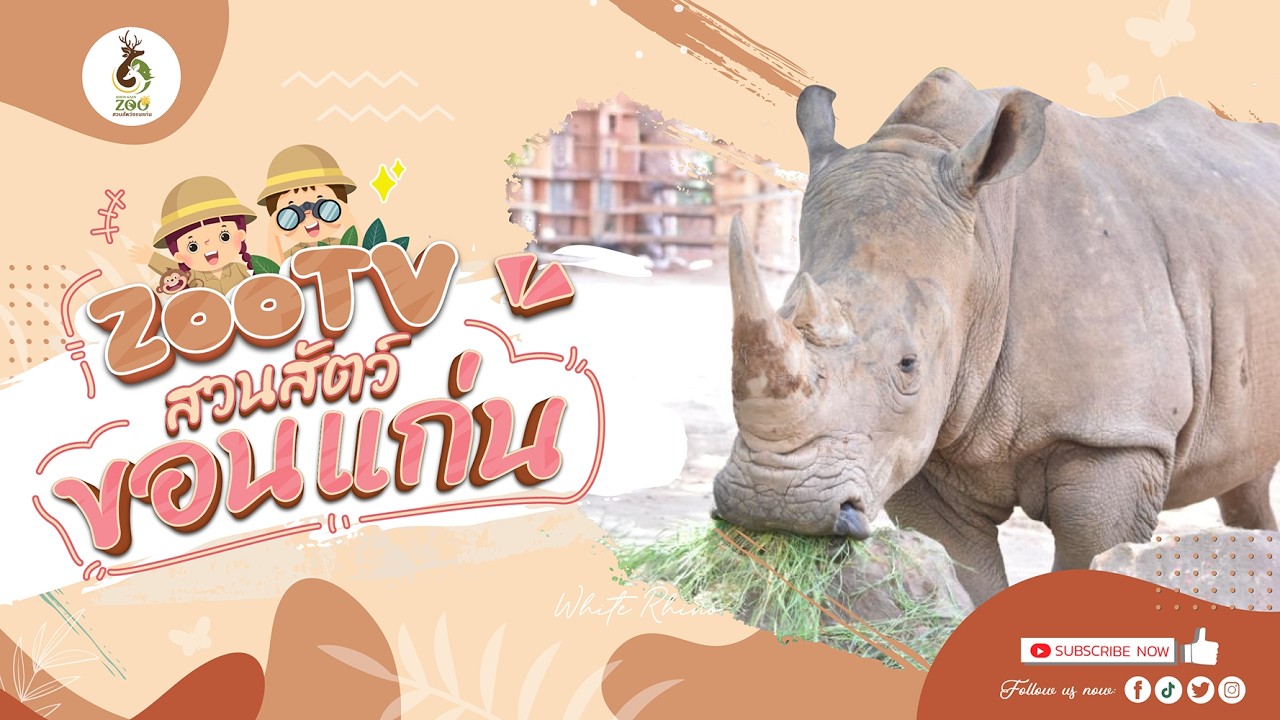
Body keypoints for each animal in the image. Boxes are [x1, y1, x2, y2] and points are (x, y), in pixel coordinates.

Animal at [712, 67, 1280, 604]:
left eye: (909, 364)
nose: (775, 504)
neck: (983, 243)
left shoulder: (1115, 433)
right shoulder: (923, 449)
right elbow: (969, 575)